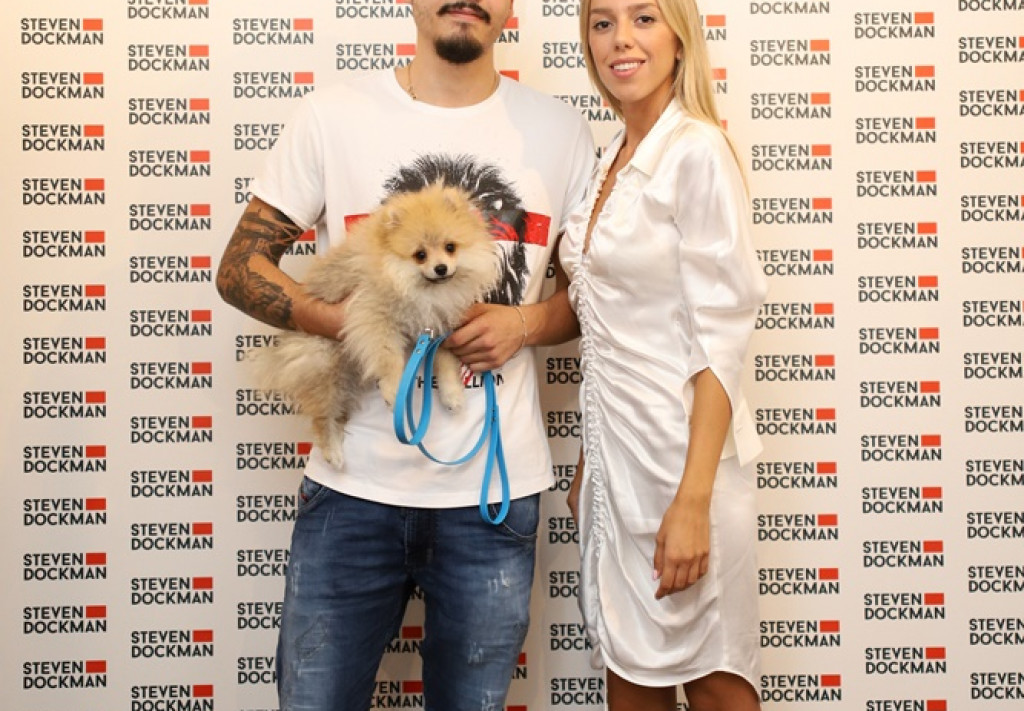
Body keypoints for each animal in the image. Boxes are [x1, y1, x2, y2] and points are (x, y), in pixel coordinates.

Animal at [249, 183, 500, 467]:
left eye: (450, 247)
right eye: (420, 255)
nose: (441, 268)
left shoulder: (439, 325)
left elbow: (445, 363)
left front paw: (452, 395)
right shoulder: (375, 317)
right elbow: (388, 359)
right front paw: (393, 390)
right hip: (324, 364)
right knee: (323, 415)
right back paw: (333, 452)